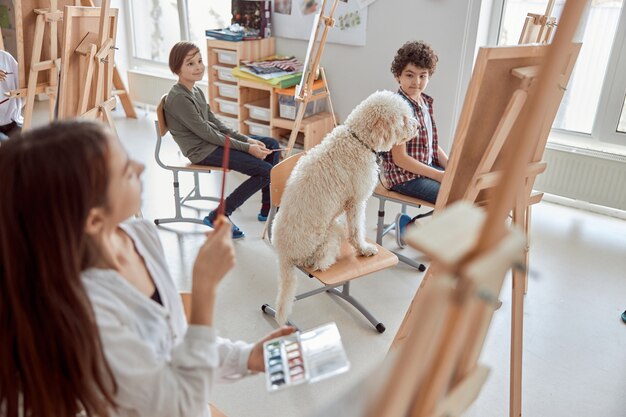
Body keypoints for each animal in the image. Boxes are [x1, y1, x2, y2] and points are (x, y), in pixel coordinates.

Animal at [270, 91, 416, 324]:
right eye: (403, 118)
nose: (417, 126)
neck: (358, 140)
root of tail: (284, 255)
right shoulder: (356, 201)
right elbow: (356, 231)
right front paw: (364, 248)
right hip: (329, 232)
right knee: (320, 261)